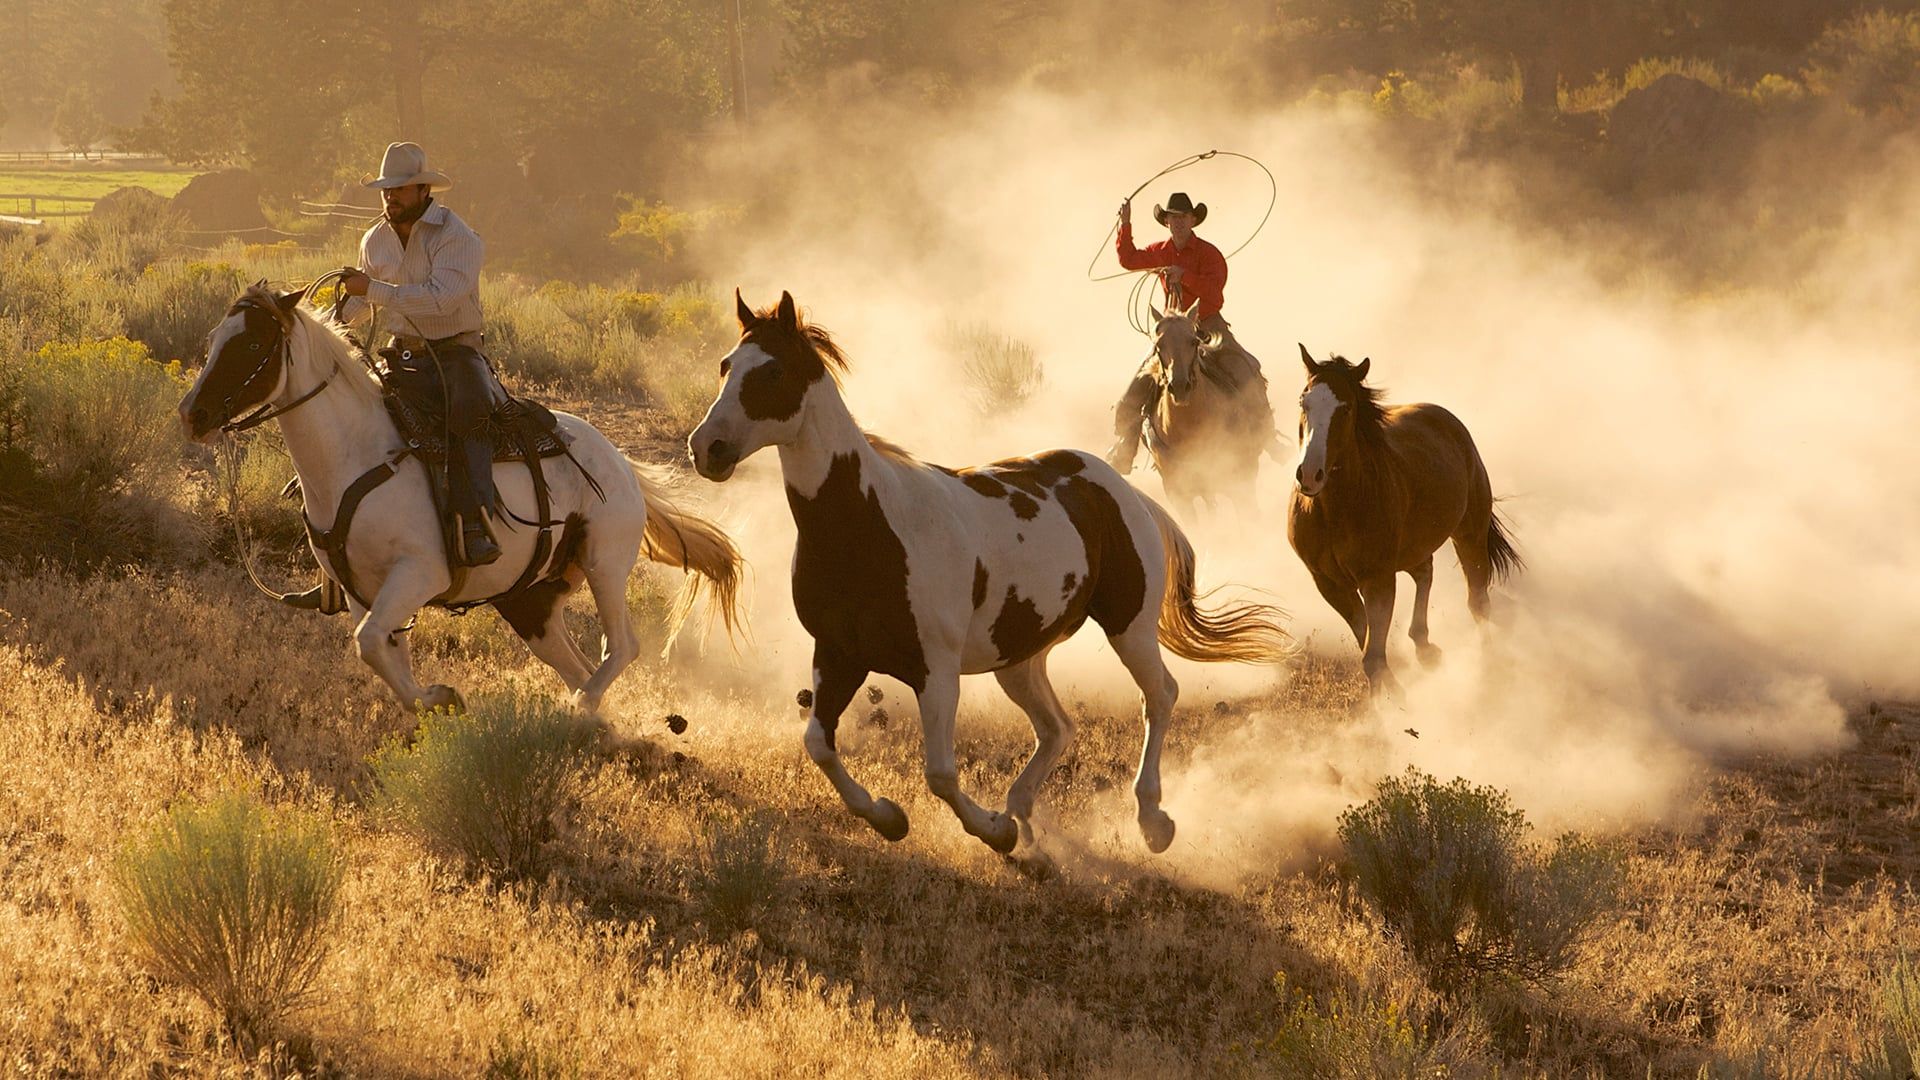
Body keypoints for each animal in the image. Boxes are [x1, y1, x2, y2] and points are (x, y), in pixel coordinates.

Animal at [178, 282, 741, 714]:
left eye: (253, 345)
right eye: (214, 340)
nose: (192, 414)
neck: (356, 456)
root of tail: (620, 463)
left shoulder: (419, 573)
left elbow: (367, 643)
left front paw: (439, 699)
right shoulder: (365, 590)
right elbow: (383, 650)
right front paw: (435, 700)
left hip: (604, 564)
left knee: (621, 648)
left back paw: (581, 709)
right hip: (529, 600)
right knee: (577, 663)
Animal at [691, 290, 1290, 853]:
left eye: (773, 371)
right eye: (725, 365)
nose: (707, 448)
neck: (869, 522)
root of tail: (1123, 492)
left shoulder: (936, 670)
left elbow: (939, 773)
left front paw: (994, 833)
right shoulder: (837, 654)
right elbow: (818, 746)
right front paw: (891, 818)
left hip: (1129, 626)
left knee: (1159, 696)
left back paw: (1151, 820)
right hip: (1019, 658)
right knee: (1057, 728)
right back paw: (1023, 814)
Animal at [1282, 345, 1520, 699]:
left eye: (1346, 408)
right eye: (1303, 401)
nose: (1310, 475)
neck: (1335, 510)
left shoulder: (1378, 579)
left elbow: (1373, 655)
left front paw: (1389, 702)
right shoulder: (1329, 583)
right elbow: (1368, 641)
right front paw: (1395, 691)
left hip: (1470, 534)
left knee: (1477, 601)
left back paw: (1486, 666)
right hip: (1414, 548)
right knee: (1425, 572)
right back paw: (1425, 648)